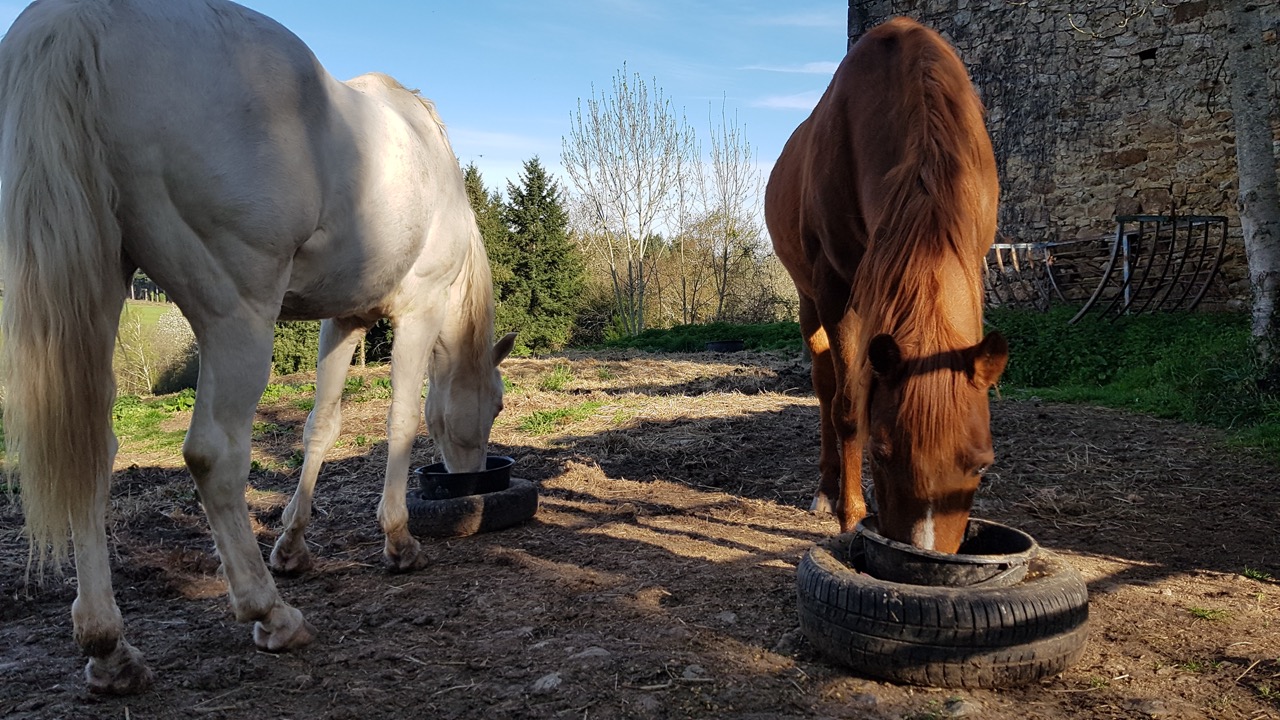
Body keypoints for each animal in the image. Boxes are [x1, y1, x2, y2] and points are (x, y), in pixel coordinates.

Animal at [2, 0, 519, 696]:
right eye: (494, 406)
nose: (469, 480)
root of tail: (80, 23)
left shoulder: (343, 320)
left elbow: (321, 426)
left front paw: (294, 547)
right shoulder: (416, 311)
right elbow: (403, 421)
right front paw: (398, 540)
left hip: (100, 292)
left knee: (91, 448)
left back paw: (109, 647)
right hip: (238, 316)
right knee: (214, 455)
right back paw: (270, 613)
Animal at [762, 18, 1003, 556]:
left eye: (981, 465)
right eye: (882, 453)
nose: (924, 555)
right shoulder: (837, 289)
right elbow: (850, 406)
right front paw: (851, 514)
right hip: (810, 300)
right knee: (826, 385)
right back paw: (828, 489)